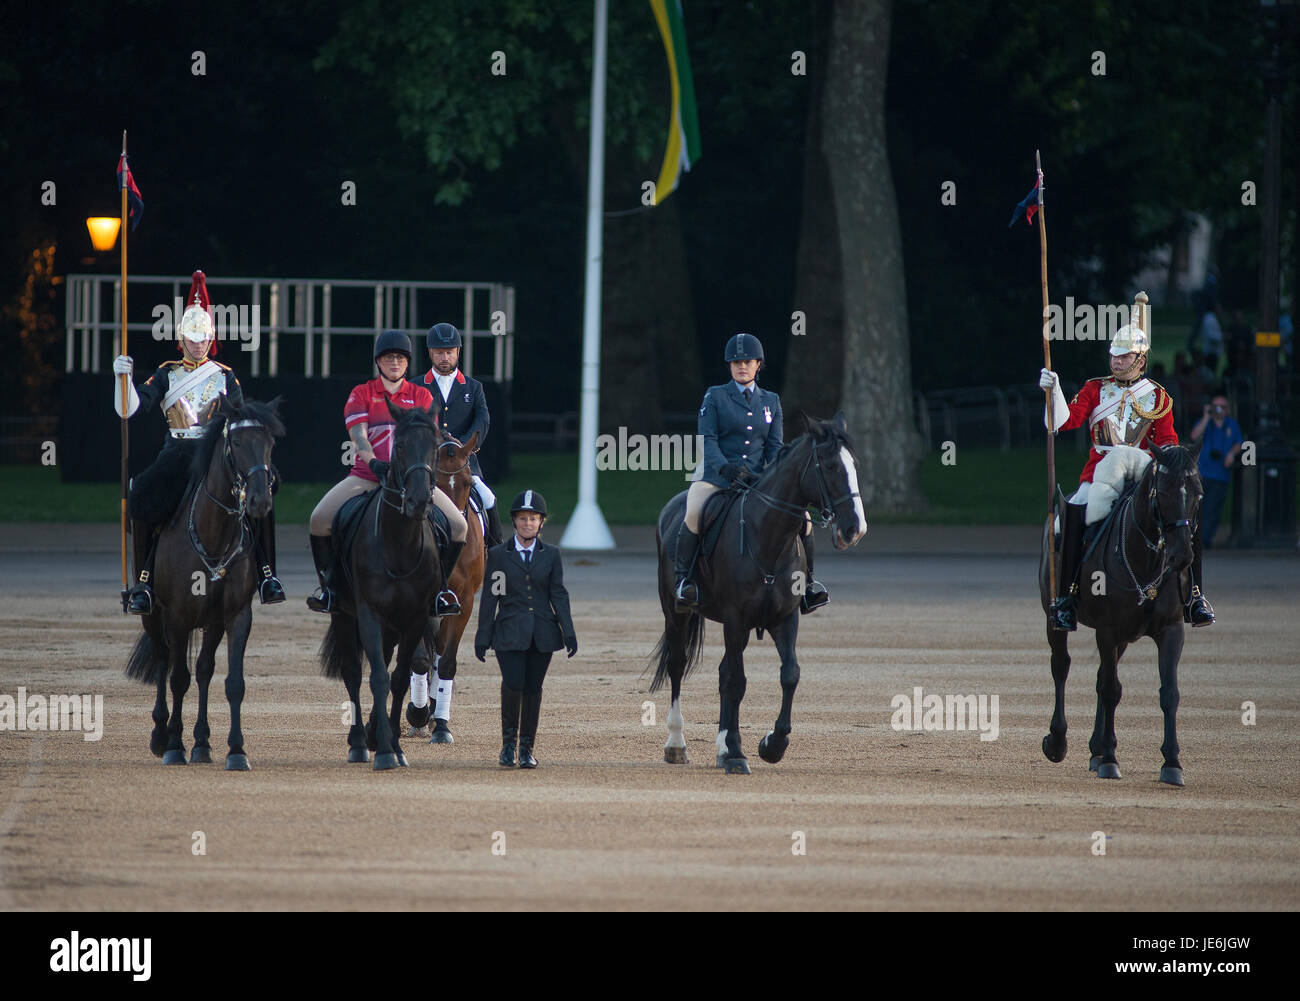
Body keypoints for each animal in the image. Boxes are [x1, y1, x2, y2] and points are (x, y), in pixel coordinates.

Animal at [125, 395, 283, 769]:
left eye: (270, 443)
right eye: (236, 442)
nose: (260, 500)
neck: (214, 534)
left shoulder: (236, 615)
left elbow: (232, 681)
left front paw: (236, 750)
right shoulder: (177, 616)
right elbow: (177, 678)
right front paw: (173, 746)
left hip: (211, 623)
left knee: (204, 669)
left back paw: (201, 742)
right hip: (154, 615)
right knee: (163, 660)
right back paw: (161, 734)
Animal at [321, 395, 444, 764]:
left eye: (435, 446)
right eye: (400, 446)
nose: (418, 501)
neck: (399, 544)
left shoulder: (415, 616)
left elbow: (400, 676)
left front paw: (394, 745)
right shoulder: (368, 613)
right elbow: (376, 676)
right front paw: (385, 751)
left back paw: (375, 734)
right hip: (343, 613)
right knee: (352, 671)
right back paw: (360, 742)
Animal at [403, 428, 486, 738]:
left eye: (467, 483)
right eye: (433, 484)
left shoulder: (464, 602)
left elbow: (446, 661)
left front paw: (440, 724)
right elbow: (418, 659)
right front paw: (416, 713)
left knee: (438, 651)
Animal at [647, 410, 863, 769]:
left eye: (854, 464)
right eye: (831, 465)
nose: (855, 529)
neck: (769, 538)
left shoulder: (785, 619)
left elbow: (789, 674)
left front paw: (772, 745)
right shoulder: (736, 620)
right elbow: (737, 681)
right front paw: (736, 752)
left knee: (723, 671)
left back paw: (720, 746)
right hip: (676, 613)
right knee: (679, 665)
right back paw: (677, 743)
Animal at [1040, 441, 1201, 785]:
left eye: (1198, 493)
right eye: (1162, 492)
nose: (1182, 556)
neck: (1146, 561)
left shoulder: (1170, 630)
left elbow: (1169, 692)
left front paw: (1172, 762)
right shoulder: (1108, 630)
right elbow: (1112, 690)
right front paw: (1111, 759)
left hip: (1124, 637)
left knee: (1101, 674)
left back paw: (1096, 750)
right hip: (1054, 617)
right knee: (1062, 666)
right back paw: (1059, 741)